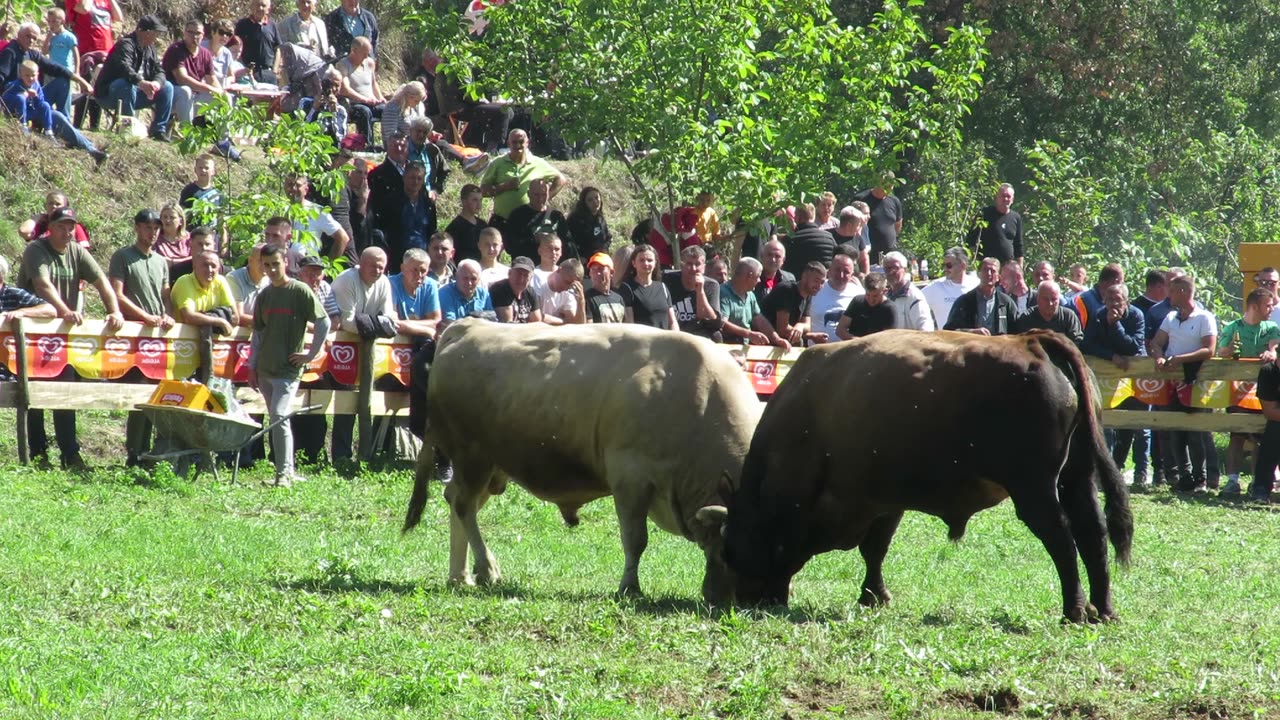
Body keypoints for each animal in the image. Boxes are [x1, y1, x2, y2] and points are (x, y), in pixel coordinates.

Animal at [706, 327, 1136, 620]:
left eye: (729, 549)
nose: (743, 599)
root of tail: (1030, 342)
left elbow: (851, 547)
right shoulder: (884, 501)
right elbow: (875, 548)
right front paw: (874, 595)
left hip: (1034, 489)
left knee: (1062, 537)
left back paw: (1074, 609)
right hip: (1076, 478)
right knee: (1092, 532)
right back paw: (1103, 609)